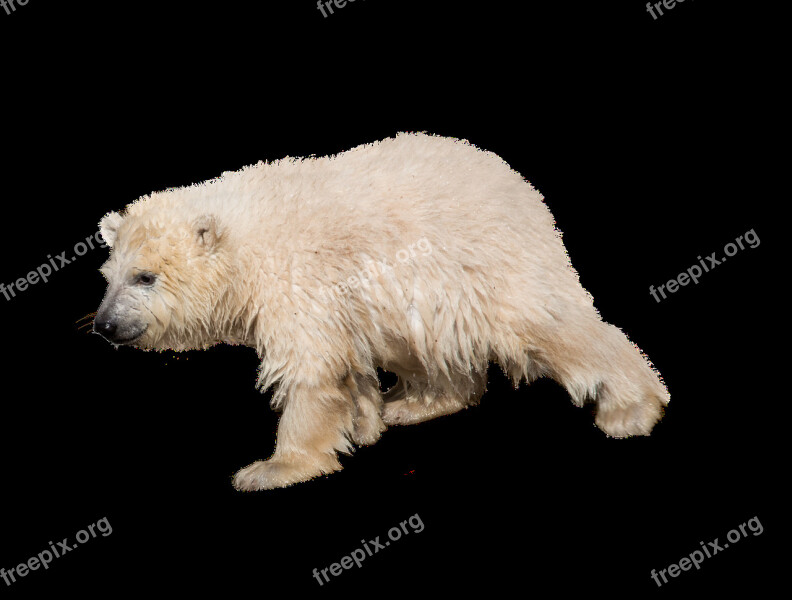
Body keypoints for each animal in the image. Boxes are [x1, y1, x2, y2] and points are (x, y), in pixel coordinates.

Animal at [93, 131, 668, 488]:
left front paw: (273, 468)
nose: (105, 324)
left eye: (146, 277)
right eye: (110, 276)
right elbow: (347, 363)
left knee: (549, 323)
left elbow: (310, 369)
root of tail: (524, 189)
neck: (248, 237)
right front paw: (366, 421)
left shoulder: (297, 280)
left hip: (484, 262)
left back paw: (631, 408)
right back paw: (412, 403)